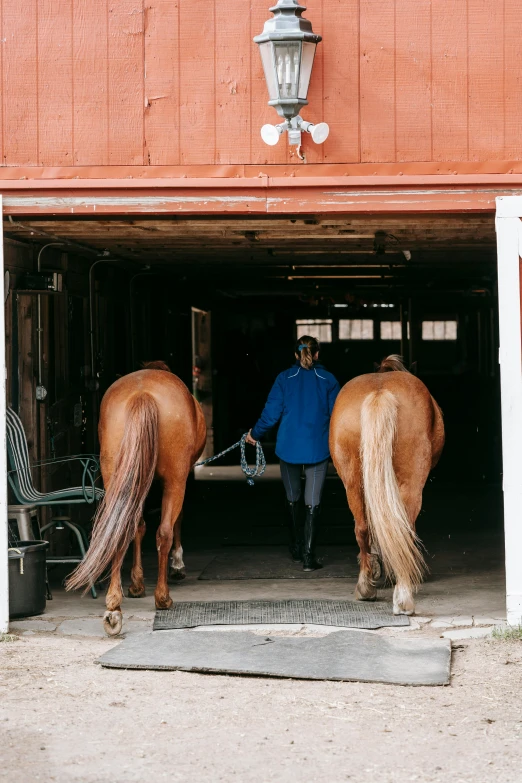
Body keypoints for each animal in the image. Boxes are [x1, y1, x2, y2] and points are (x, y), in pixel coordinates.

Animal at [67, 362, 207, 636]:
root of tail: (142, 394)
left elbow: (138, 527)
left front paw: (136, 584)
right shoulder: (181, 478)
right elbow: (174, 522)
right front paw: (177, 566)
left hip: (116, 477)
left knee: (118, 529)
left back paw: (114, 608)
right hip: (175, 480)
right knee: (164, 531)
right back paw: (163, 598)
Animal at [330, 356, 442, 620]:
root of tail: (380, 392)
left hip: (353, 481)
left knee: (362, 528)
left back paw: (366, 587)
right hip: (411, 482)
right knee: (404, 528)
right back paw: (402, 596)